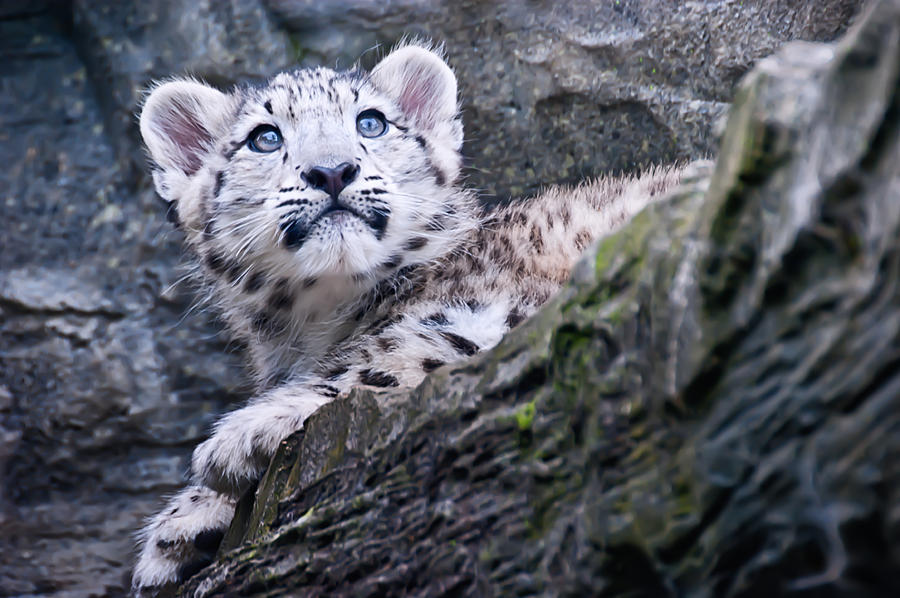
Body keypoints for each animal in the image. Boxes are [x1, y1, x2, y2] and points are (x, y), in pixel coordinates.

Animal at [132, 41, 695, 595]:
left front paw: (229, 448)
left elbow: (386, 359)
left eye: (371, 122)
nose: (332, 170)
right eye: (264, 137)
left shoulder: (502, 310)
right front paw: (186, 529)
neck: (317, 323)